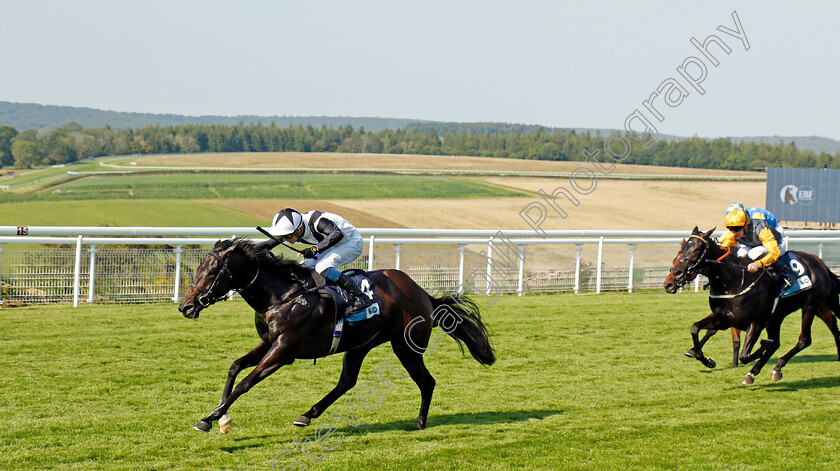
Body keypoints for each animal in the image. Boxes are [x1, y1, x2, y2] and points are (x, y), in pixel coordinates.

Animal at [177, 240, 492, 436]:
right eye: (199, 267)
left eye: (213, 271)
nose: (186, 306)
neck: (282, 295)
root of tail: (424, 294)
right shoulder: (268, 343)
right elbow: (234, 367)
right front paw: (219, 417)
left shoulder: (283, 351)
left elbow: (246, 382)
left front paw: (209, 419)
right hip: (360, 344)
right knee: (347, 381)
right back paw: (308, 414)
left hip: (406, 346)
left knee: (427, 382)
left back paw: (420, 423)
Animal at [668, 230, 836, 388]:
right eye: (683, 248)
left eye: (697, 248)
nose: (676, 274)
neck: (734, 281)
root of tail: (819, 262)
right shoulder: (723, 320)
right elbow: (695, 328)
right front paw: (707, 360)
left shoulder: (756, 322)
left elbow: (745, 355)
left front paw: (761, 346)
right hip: (777, 316)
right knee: (778, 342)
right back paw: (764, 371)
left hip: (810, 306)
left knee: (804, 339)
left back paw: (774, 366)